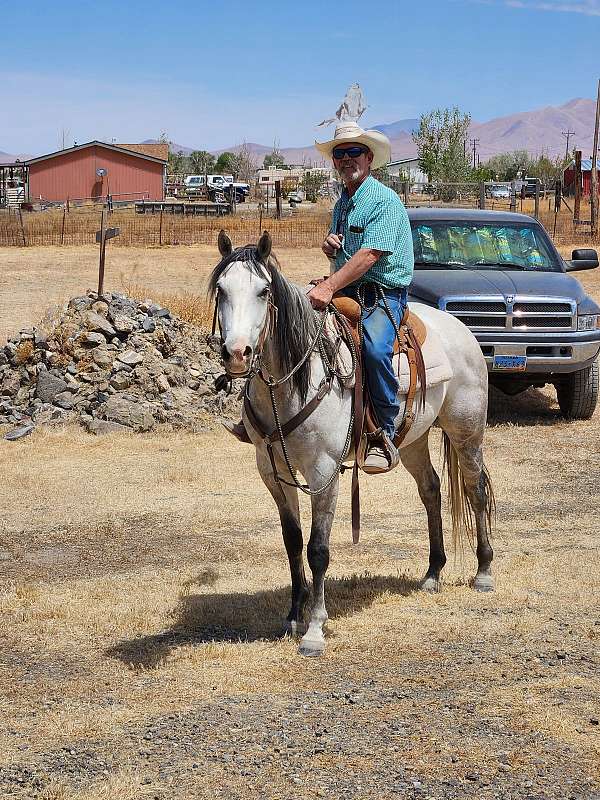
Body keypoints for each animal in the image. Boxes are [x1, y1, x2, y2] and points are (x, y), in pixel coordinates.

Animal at [209, 231, 494, 656]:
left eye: (264, 291)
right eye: (222, 290)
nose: (238, 353)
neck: (295, 382)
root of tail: (461, 329)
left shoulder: (324, 473)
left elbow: (318, 549)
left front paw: (314, 628)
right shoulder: (273, 472)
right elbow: (292, 541)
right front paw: (292, 615)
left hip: (466, 430)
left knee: (475, 490)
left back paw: (484, 571)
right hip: (412, 439)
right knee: (431, 489)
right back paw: (432, 572)